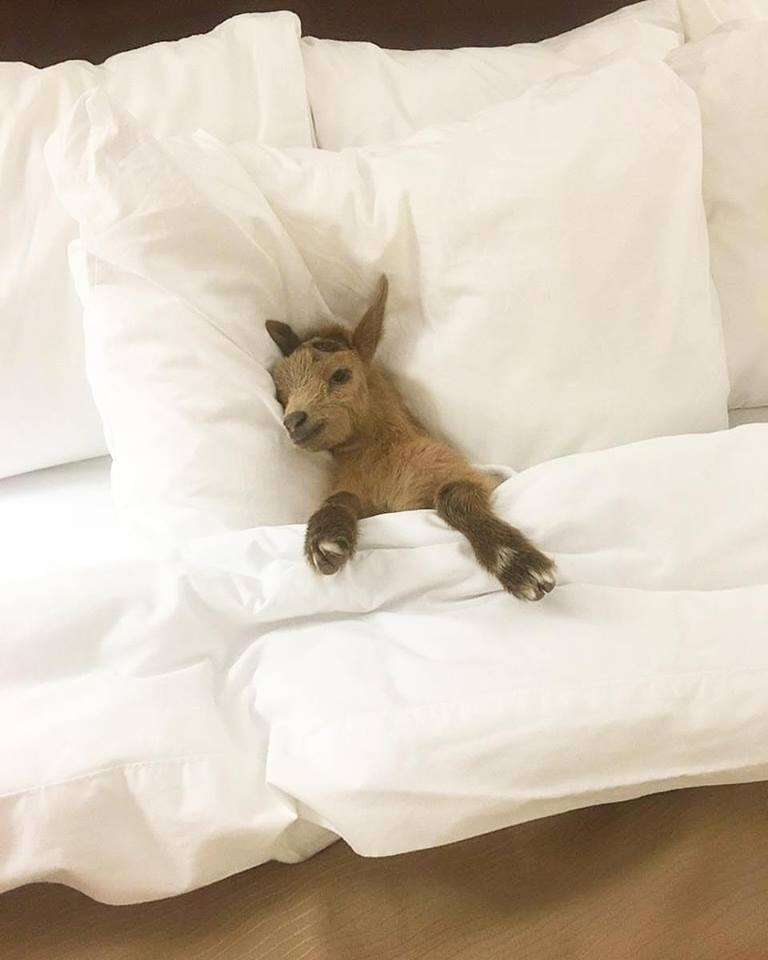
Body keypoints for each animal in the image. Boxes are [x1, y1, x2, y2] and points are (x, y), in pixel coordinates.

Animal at [266, 277, 556, 600]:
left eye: (341, 374)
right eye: (282, 394)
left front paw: (521, 565)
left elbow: (452, 496)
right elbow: (338, 498)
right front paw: (325, 541)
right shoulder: (360, 494)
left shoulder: (468, 474)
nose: (293, 422)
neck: (381, 457)